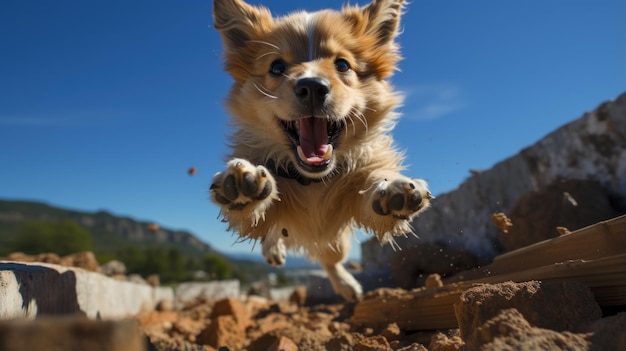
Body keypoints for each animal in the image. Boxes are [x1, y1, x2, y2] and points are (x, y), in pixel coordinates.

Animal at [210, 0, 428, 302]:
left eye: (342, 65)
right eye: (277, 66)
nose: (312, 86)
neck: (312, 180)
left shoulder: (359, 178)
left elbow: (372, 186)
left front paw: (392, 189)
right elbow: (259, 213)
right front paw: (245, 186)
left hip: (333, 240)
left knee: (330, 259)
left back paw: (347, 286)